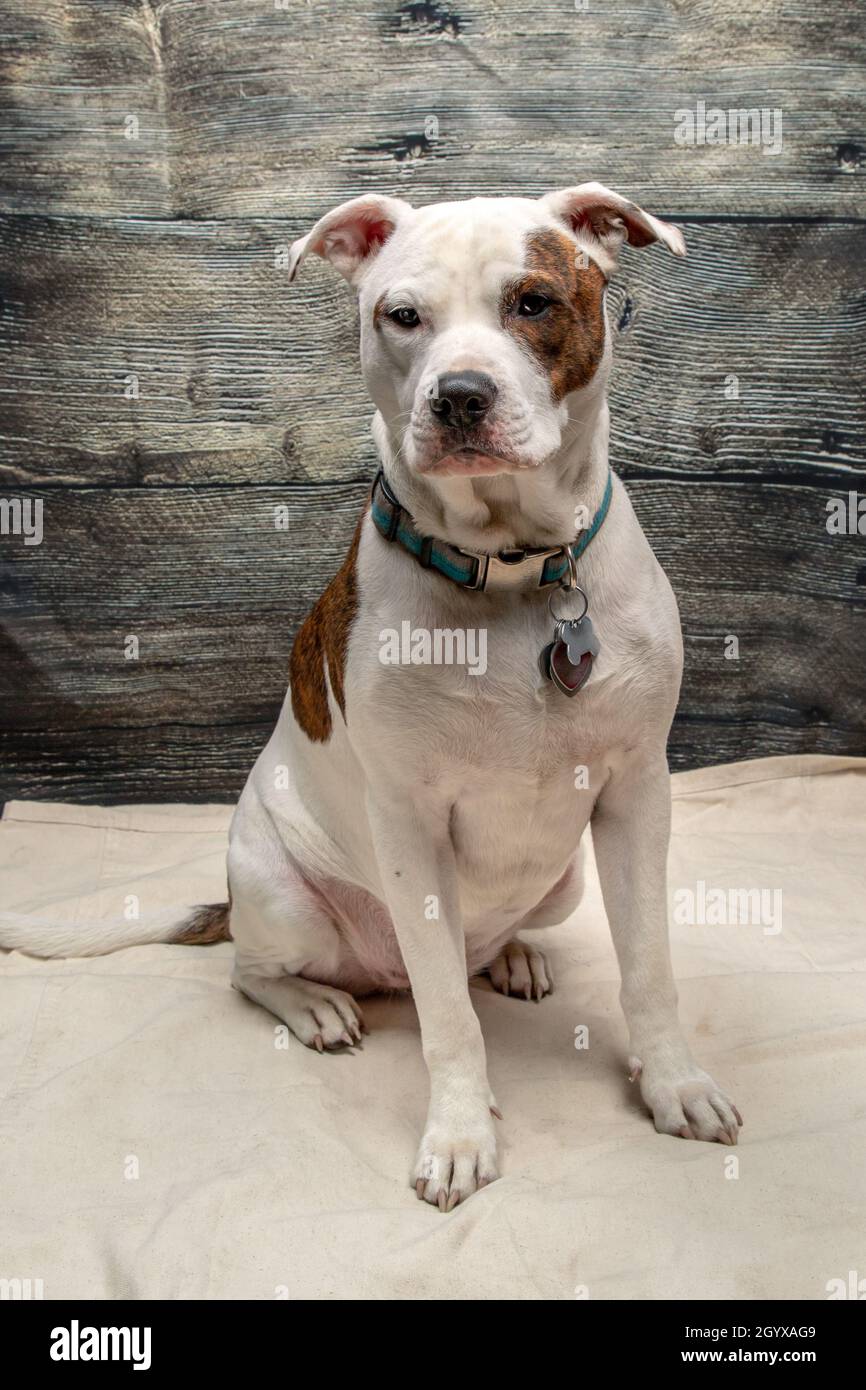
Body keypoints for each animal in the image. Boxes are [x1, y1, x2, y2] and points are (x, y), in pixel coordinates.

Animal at [3, 182, 739, 1206]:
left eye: (534, 302)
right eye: (403, 316)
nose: (460, 396)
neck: (516, 578)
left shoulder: (636, 794)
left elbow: (650, 968)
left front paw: (674, 1084)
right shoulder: (411, 826)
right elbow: (450, 1024)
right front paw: (461, 1135)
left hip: (561, 882)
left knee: (478, 951)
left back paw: (511, 954)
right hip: (282, 894)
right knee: (258, 971)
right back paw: (313, 1004)